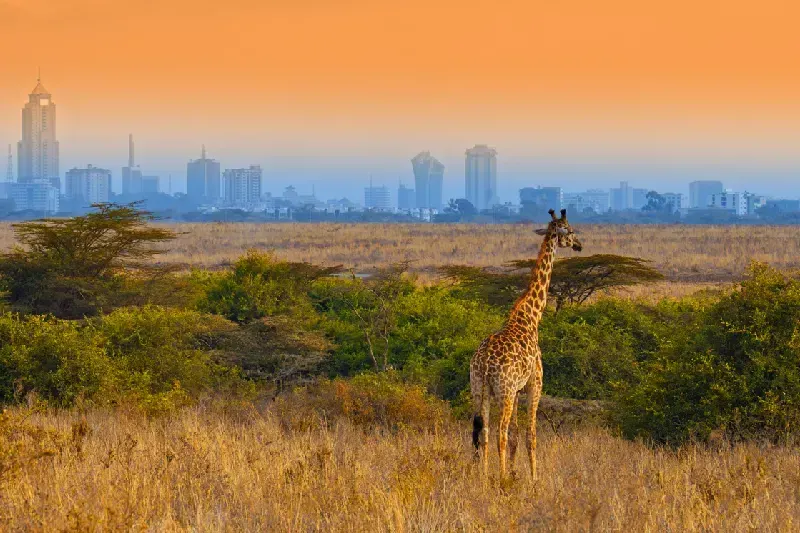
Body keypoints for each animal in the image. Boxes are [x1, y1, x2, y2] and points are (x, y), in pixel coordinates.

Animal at [470, 208, 582, 481]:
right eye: (570, 230)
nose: (579, 245)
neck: (531, 317)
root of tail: (484, 363)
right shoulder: (534, 383)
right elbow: (531, 435)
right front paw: (533, 479)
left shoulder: (519, 389)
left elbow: (516, 437)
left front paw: (514, 473)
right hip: (505, 391)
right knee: (498, 432)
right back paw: (499, 479)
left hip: (480, 389)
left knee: (483, 432)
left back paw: (483, 477)